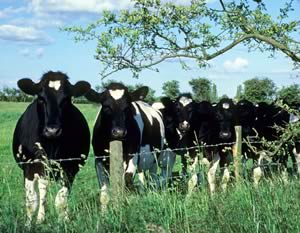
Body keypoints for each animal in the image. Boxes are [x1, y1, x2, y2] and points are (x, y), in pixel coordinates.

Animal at [13, 71, 90, 226]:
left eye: (66, 99)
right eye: (41, 99)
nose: (52, 130)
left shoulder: (70, 167)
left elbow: (61, 200)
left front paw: (63, 221)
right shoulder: (29, 167)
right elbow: (32, 201)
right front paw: (29, 224)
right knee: (42, 191)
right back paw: (40, 218)